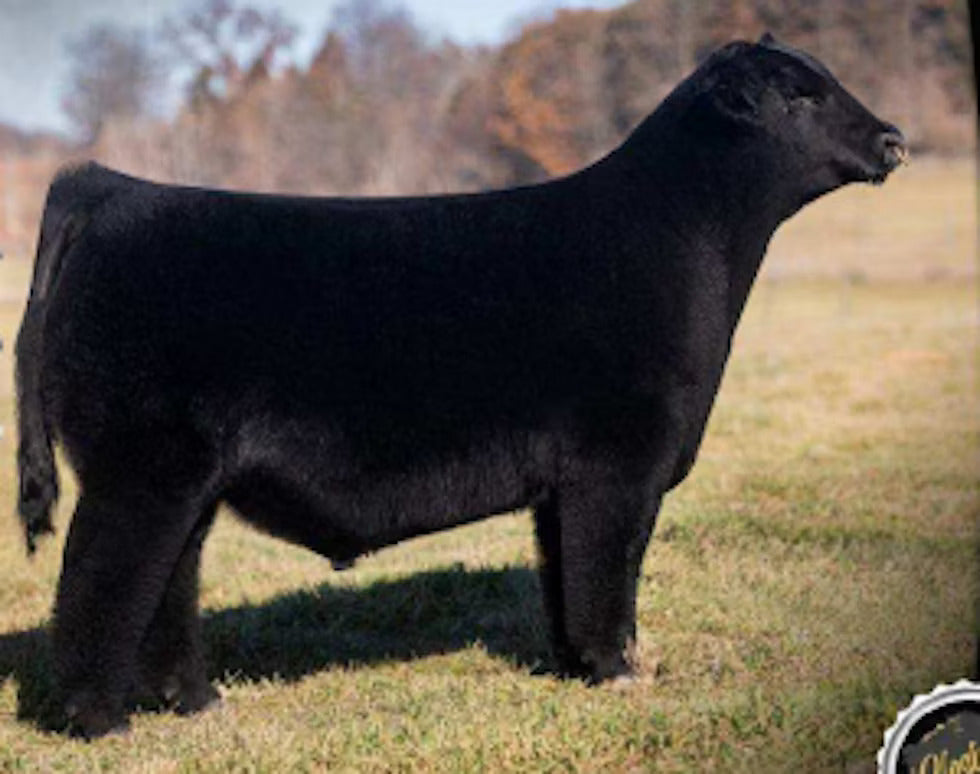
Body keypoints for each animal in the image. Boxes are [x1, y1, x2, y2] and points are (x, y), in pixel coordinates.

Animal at [15, 34, 906, 738]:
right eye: (799, 94)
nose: (894, 137)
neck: (685, 242)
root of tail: (109, 187)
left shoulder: (565, 483)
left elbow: (564, 577)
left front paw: (574, 667)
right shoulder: (620, 465)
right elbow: (607, 575)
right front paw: (621, 672)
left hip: (185, 482)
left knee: (167, 585)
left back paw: (199, 702)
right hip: (141, 471)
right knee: (100, 582)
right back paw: (101, 721)